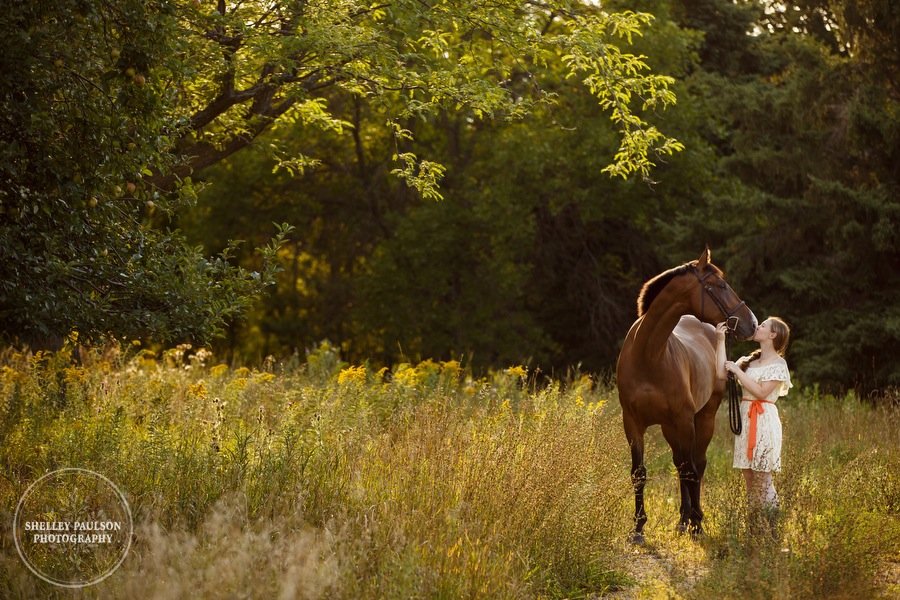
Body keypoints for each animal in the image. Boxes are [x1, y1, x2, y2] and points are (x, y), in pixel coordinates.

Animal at [616, 246, 756, 540]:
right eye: (720, 285)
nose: (751, 323)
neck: (649, 355)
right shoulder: (632, 423)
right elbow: (639, 472)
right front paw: (638, 526)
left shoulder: (684, 420)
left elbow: (692, 470)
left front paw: (698, 523)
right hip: (670, 427)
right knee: (680, 463)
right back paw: (682, 518)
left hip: (703, 418)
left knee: (696, 464)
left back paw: (692, 518)